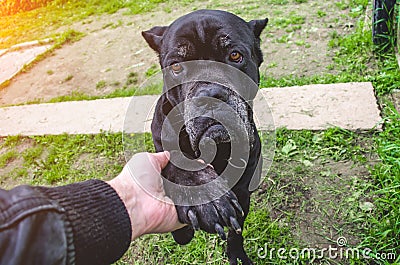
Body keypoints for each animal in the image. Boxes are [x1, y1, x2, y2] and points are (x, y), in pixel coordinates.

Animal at [142, 9, 268, 262]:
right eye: (177, 67)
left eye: (235, 55)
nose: (210, 94)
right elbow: (175, 161)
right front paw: (205, 194)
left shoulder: (243, 192)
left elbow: (236, 231)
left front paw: (236, 254)